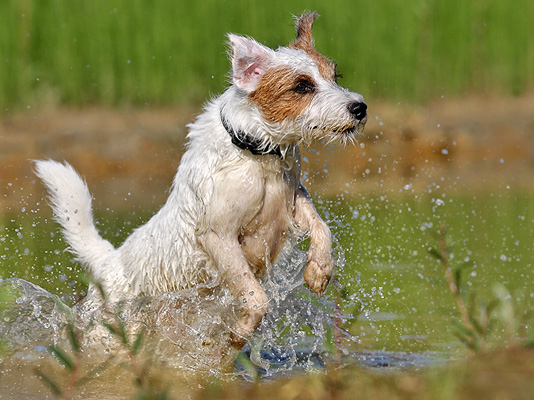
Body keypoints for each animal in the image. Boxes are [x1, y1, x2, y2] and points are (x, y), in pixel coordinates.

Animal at [34, 12, 368, 348]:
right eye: (301, 86)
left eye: (336, 76)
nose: (360, 107)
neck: (258, 156)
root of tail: (107, 261)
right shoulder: (218, 236)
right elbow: (255, 296)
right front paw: (240, 330)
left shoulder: (293, 198)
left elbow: (322, 228)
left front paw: (319, 270)